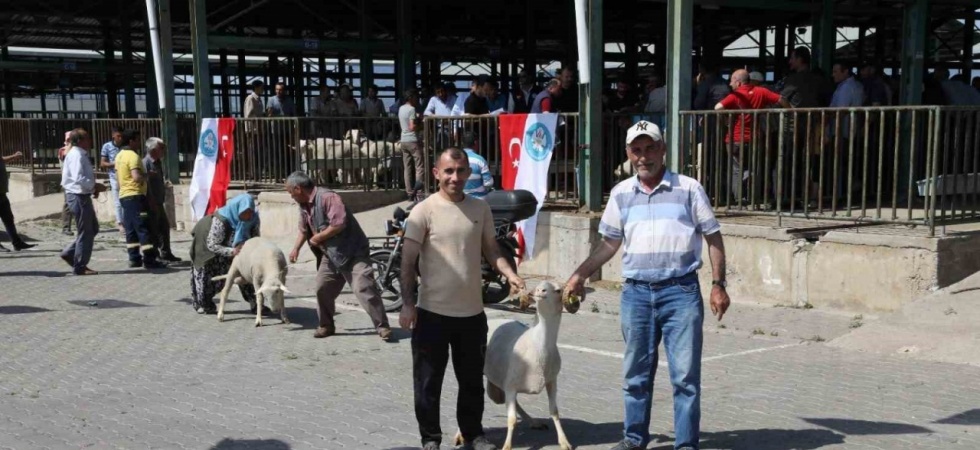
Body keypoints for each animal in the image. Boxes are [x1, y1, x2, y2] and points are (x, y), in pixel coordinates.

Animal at [454, 282, 572, 450]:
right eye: (539, 286)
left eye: (558, 290)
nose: (539, 291)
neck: (538, 344)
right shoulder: (510, 386)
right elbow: (511, 420)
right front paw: (507, 446)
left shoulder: (551, 382)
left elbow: (554, 412)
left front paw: (564, 441)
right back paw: (459, 435)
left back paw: (534, 422)